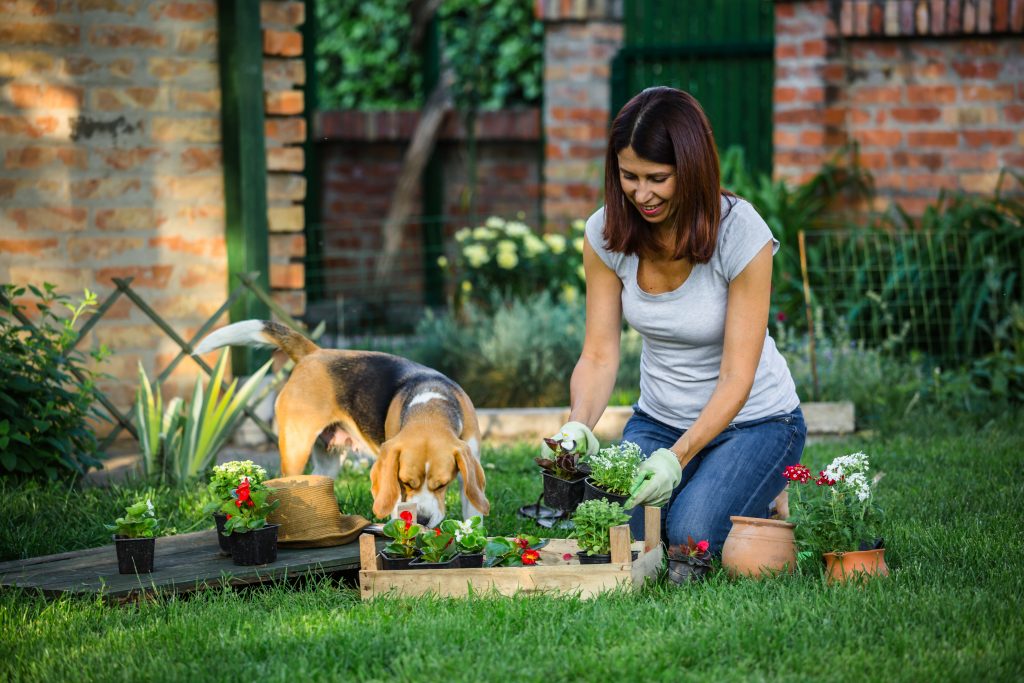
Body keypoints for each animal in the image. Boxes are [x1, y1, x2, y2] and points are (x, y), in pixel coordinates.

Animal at [197, 321, 493, 528]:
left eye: (442, 484)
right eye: (404, 482)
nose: (421, 519)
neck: (430, 406)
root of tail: (314, 354)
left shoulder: (469, 475)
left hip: (327, 461)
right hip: (295, 450)